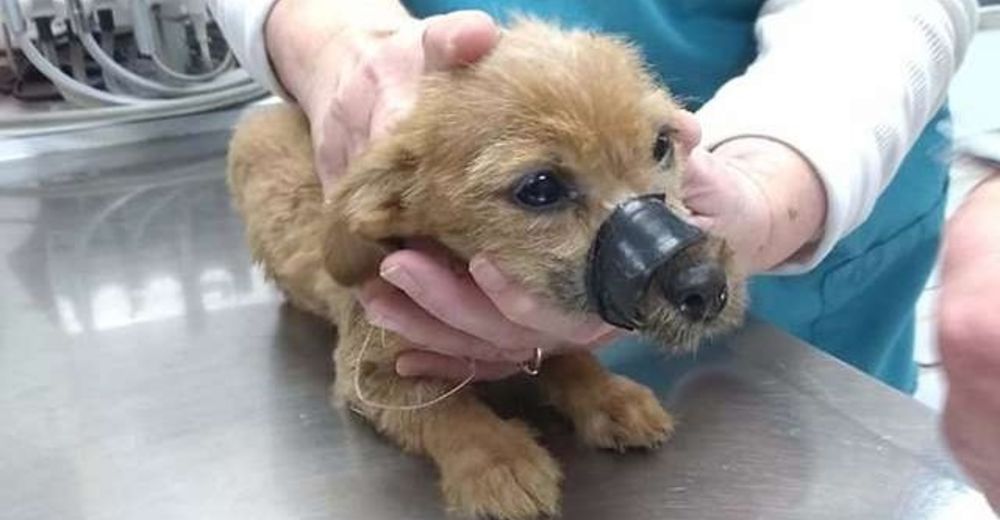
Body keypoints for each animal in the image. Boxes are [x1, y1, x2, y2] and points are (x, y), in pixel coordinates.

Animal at [225, 18, 744, 516]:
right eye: (540, 188)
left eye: (661, 144)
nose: (706, 287)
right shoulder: (367, 374)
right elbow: (447, 409)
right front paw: (498, 460)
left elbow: (569, 357)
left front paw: (608, 394)